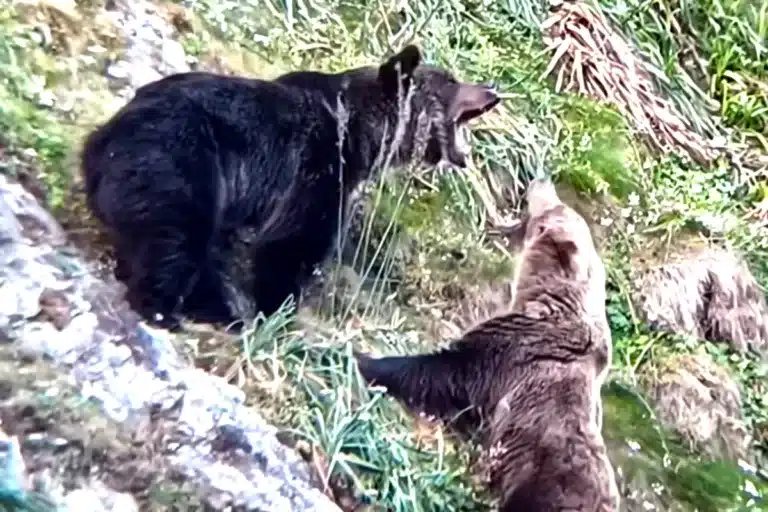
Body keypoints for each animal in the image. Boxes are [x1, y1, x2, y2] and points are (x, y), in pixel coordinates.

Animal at [80, 45, 500, 331]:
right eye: (451, 81)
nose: (493, 91)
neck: (359, 134)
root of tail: (105, 139)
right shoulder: (314, 169)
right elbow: (293, 243)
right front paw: (278, 311)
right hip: (181, 158)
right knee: (176, 237)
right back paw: (164, 309)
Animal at [355, 177, 620, 511]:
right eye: (560, 205)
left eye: (551, 212)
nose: (541, 178)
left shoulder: (512, 349)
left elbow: (450, 373)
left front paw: (365, 359)